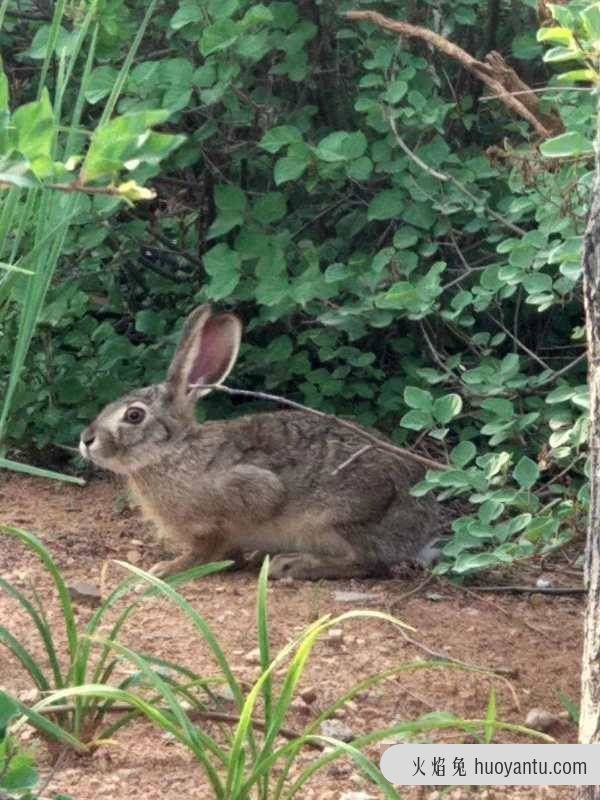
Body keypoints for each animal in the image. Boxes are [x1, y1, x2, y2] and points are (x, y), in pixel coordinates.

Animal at [79, 304, 446, 580]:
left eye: (134, 416)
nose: (86, 440)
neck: (171, 452)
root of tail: (421, 522)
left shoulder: (231, 507)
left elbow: (207, 549)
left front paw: (166, 568)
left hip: (341, 518)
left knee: (369, 563)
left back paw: (292, 565)